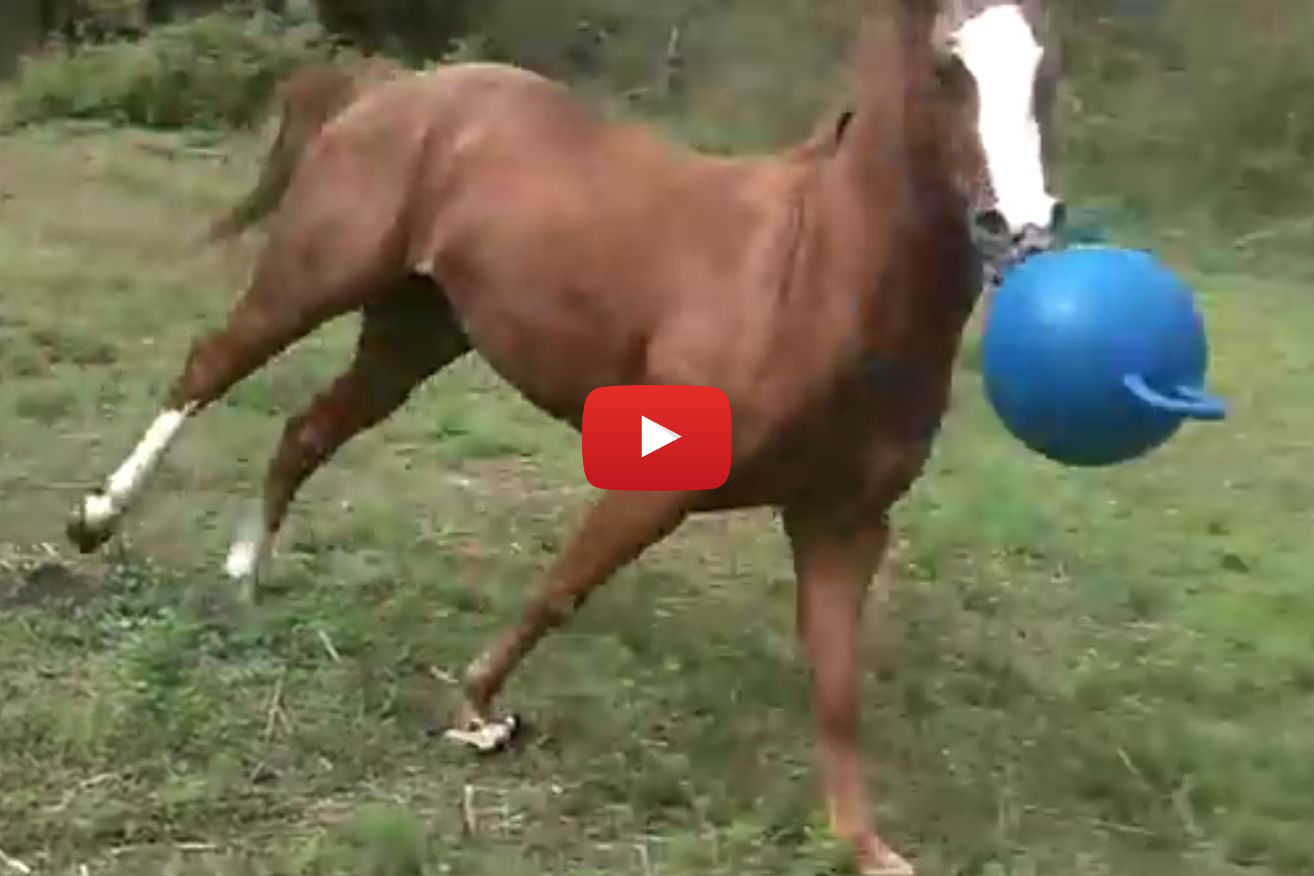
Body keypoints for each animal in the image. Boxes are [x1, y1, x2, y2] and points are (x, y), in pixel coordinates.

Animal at [65, 1, 1064, 871]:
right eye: (945, 66)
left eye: (1045, 70)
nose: (1019, 229)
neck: (820, 271)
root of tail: (392, 88)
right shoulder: (661, 479)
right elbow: (563, 588)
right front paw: (476, 713)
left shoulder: (844, 524)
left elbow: (837, 688)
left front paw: (868, 848)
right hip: (317, 274)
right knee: (207, 371)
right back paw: (97, 519)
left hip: (413, 332)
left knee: (305, 430)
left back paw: (242, 576)